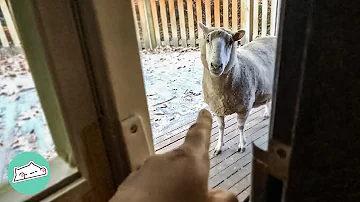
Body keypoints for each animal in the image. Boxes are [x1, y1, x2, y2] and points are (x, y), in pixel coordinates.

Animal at [198, 21, 278, 155]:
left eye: (230, 42)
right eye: (207, 39)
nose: (216, 66)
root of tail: (273, 37)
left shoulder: (244, 107)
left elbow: (240, 126)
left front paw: (242, 145)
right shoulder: (217, 108)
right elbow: (221, 127)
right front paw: (219, 146)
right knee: (268, 98)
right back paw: (267, 113)